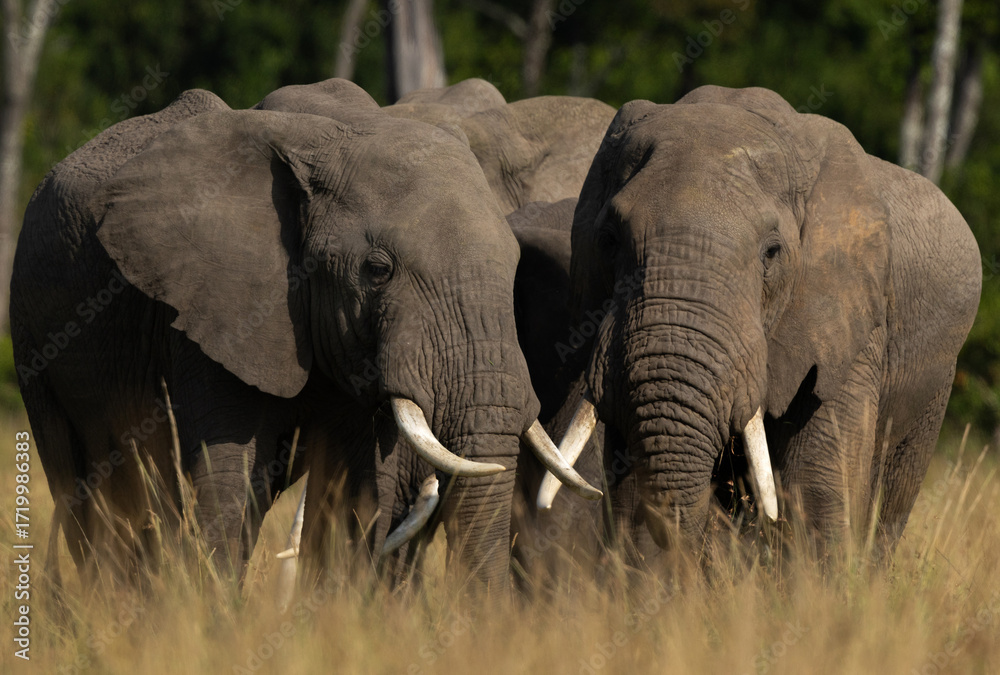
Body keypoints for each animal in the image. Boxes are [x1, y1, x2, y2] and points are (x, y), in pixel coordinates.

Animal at [10, 83, 600, 593]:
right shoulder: (211, 308)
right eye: (377, 270)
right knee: (91, 496)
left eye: (515, 267)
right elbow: (225, 481)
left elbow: (357, 495)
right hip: (32, 337)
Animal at [541, 85, 982, 564]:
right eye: (608, 241)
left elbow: (817, 488)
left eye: (772, 253)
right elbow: (629, 488)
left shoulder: (853, 324)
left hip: (932, 391)